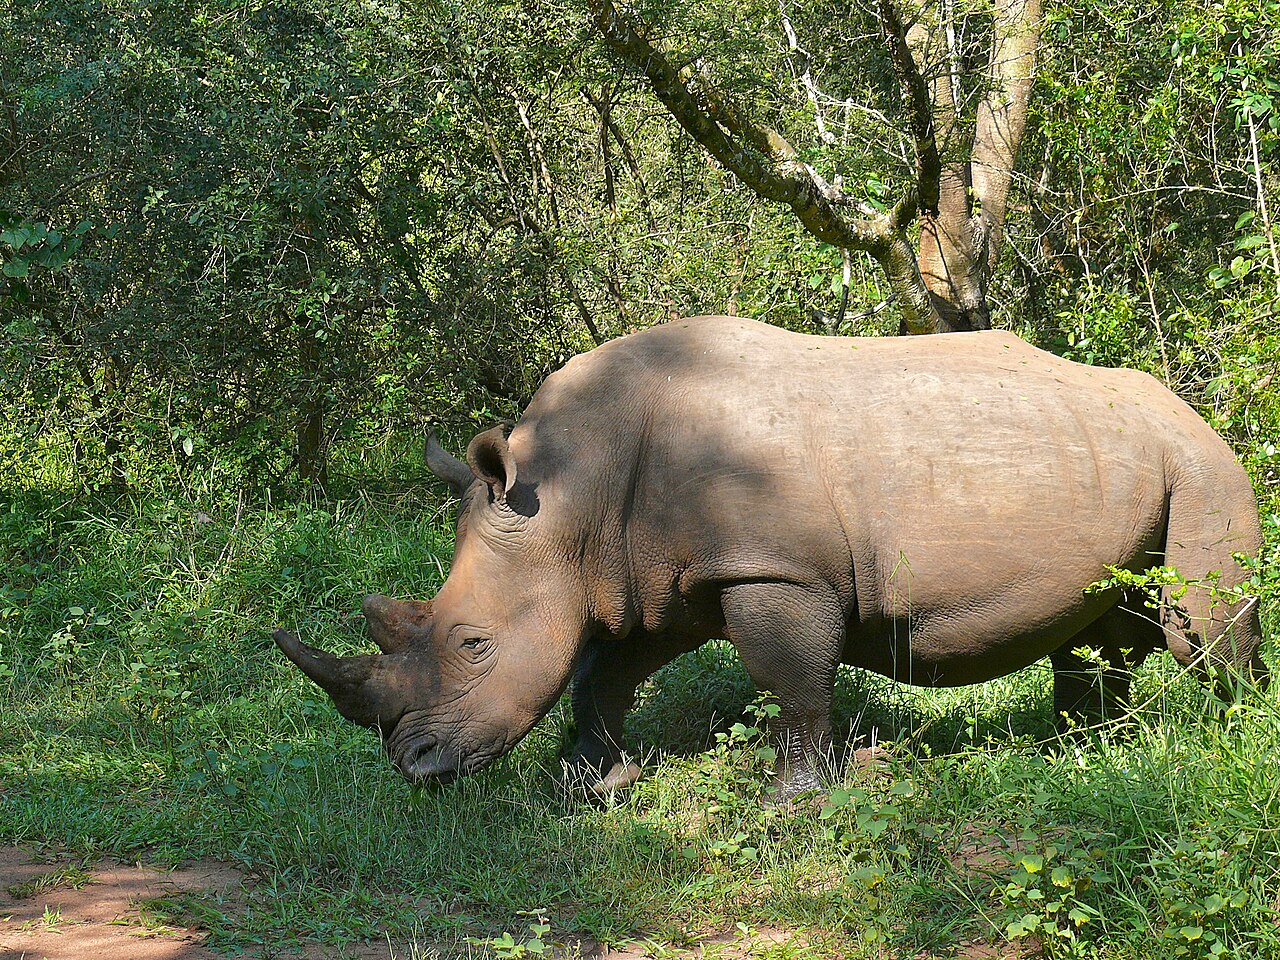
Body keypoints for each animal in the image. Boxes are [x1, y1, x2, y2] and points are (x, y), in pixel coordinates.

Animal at [274, 316, 1265, 799]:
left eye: (473, 645)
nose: (414, 770)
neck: (568, 495)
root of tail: (1188, 408)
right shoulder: (652, 578)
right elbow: (601, 671)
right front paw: (592, 784)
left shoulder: (772, 567)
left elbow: (791, 684)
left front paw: (791, 804)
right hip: (1121, 454)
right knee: (1099, 636)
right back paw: (1080, 755)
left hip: (1203, 463)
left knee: (1201, 632)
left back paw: (1235, 742)